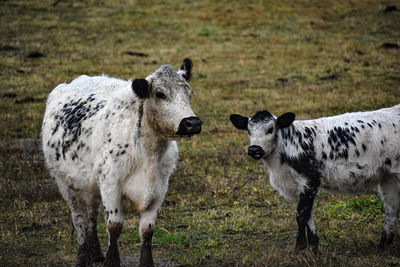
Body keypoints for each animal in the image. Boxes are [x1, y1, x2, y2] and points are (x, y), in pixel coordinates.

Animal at [42, 58, 202, 266]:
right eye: (160, 94)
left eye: (188, 93)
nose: (192, 123)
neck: (148, 152)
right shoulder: (111, 184)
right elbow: (114, 226)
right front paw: (111, 261)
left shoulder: (159, 189)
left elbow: (147, 230)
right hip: (65, 183)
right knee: (80, 219)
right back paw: (83, 256)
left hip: (91, 183)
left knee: (92, 214)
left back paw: (95, 253)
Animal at [230, 104, 400, 253]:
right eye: (248, 130)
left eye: (270, 129)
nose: (254, 149)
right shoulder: (303, 187)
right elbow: (309, 216)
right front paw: (313, 247)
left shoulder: (309, 181)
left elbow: (302, 215)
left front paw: (299, 248)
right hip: (388, 176)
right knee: (391, 208)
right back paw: (383, 245)